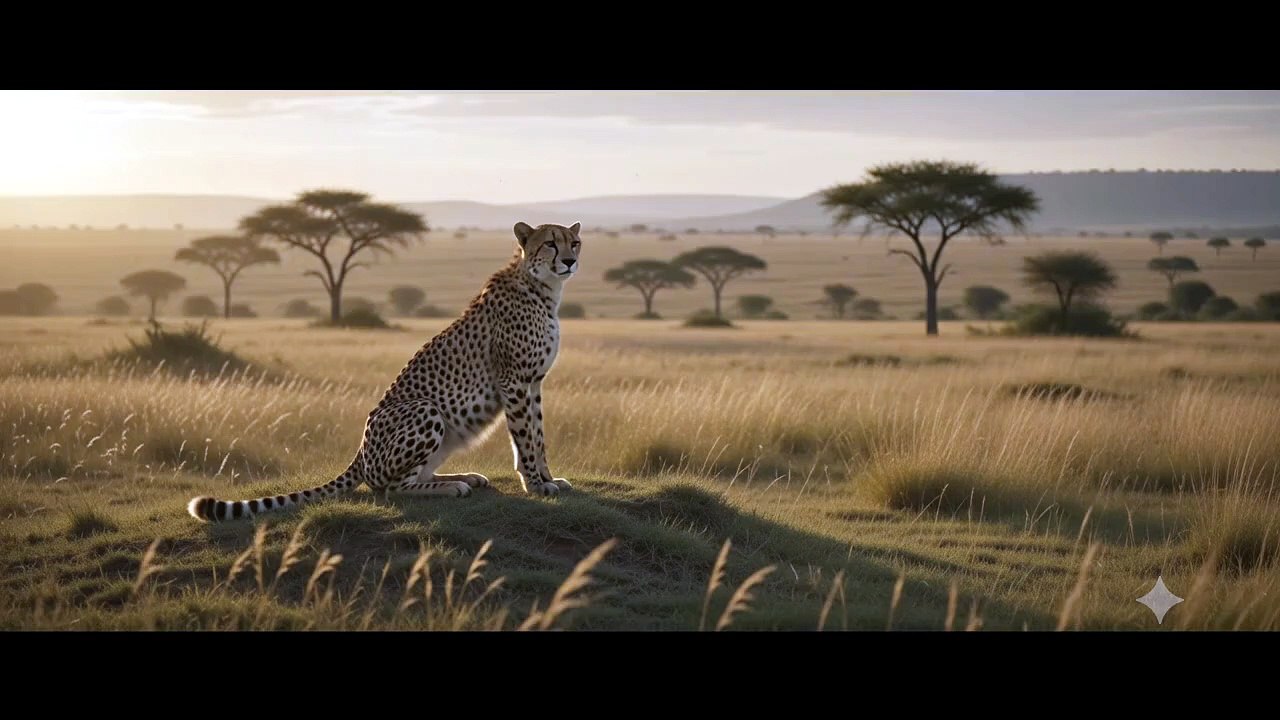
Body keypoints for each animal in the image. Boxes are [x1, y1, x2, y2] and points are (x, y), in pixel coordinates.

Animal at [188, 221, 581, 522]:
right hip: (425, 409)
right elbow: (525, 438)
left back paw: (464, 476)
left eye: (574, 242)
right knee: (391, 487)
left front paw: (548, 478)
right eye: (550, 243)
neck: (542, 288)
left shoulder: (533, 382)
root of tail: (360, 454)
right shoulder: (513, 380)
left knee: (413, 475)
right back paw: (453, 485)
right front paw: (536, 484)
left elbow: (538, 435)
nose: (570, 260)